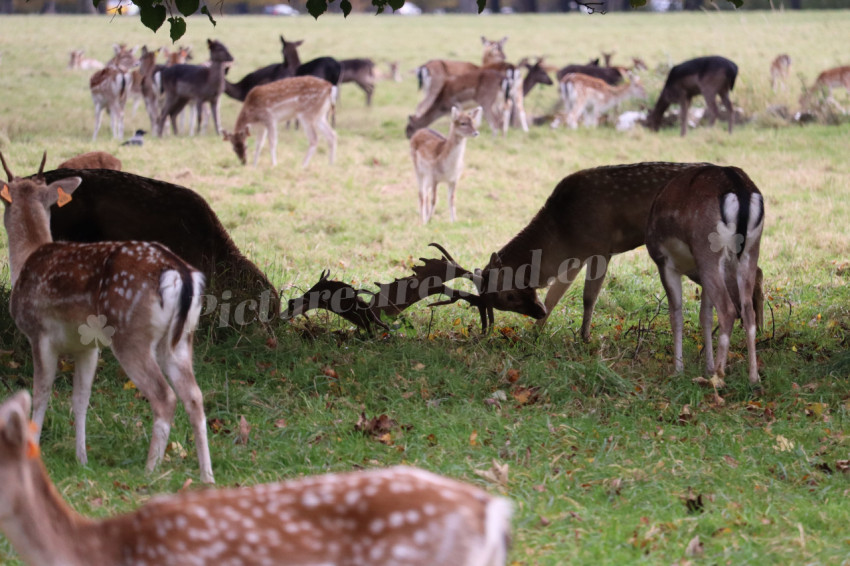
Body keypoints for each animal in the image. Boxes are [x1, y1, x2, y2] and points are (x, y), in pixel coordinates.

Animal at [0, 153, 212, 486]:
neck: (26, 261)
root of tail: (180, 272)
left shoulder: (38, 332)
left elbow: (40, 393)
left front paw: (34, 449)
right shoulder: (88, 346)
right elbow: (80, 399)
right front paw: (82, 459)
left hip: (131, 333)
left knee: (165, 396)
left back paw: (149, 471)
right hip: (181, 339)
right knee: (194, 397)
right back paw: (207, 476)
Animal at [460, 162, 764, 344]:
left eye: (508, 295)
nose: (536, 313)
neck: (562, 230)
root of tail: (746, 187)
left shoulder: (600, 246)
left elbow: (588, 297)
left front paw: (584, 337)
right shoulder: (577, 255)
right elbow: (555, 294)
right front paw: (537, 332)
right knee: (755, 273)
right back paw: (755, 328)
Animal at [644, 164, 764, 386]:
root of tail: (739, 188)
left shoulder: (664, 262)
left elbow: (676, 315)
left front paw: (678, 371)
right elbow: (705, 316)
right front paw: (706, 366)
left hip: (707, 250)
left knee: (727, 310)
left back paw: (717, 377)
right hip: (750, 251)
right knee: (747, 311)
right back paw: (753, 377)